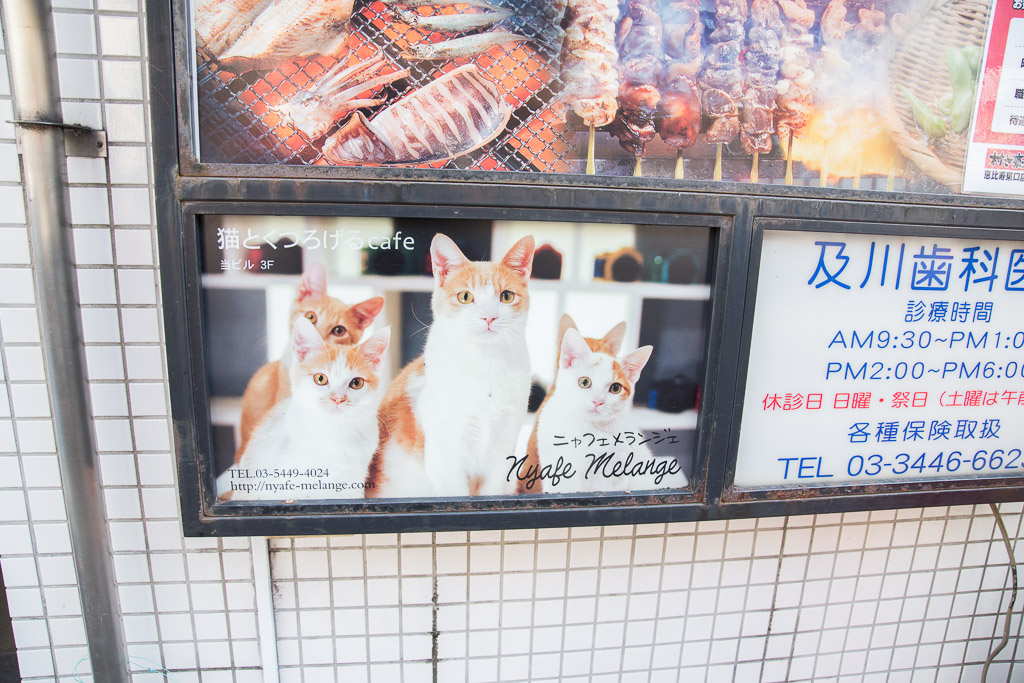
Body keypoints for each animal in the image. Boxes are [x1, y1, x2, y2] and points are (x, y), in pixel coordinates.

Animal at [372, 233, 540, 497]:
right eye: (465, 297)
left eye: (506, 296)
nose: (489, 317)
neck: (484, 364)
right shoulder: (445, 456)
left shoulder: (502, 454)